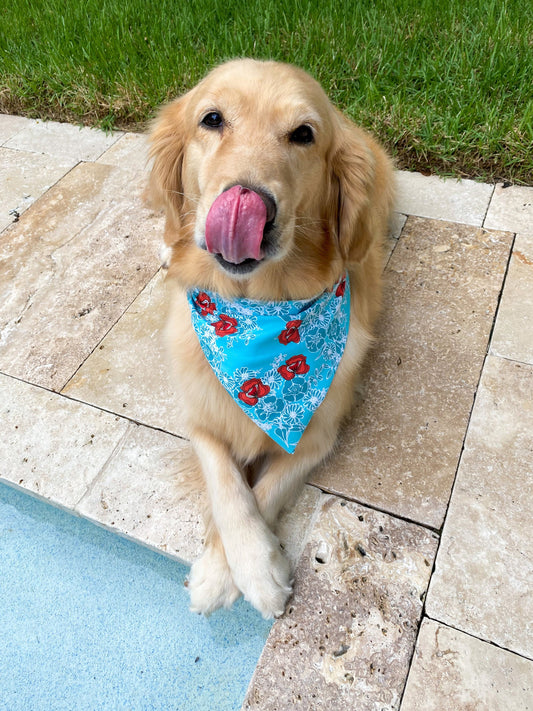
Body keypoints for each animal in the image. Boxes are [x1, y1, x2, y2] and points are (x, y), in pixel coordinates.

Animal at [148, 59, 392, 616]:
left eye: (303, 134)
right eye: (212, 119)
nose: (246, 202)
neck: (256, 315)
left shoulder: (319, 433)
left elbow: (266, 489)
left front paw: (244, 571)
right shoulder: (198, 417)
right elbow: (227, 485)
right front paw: (235, 565)